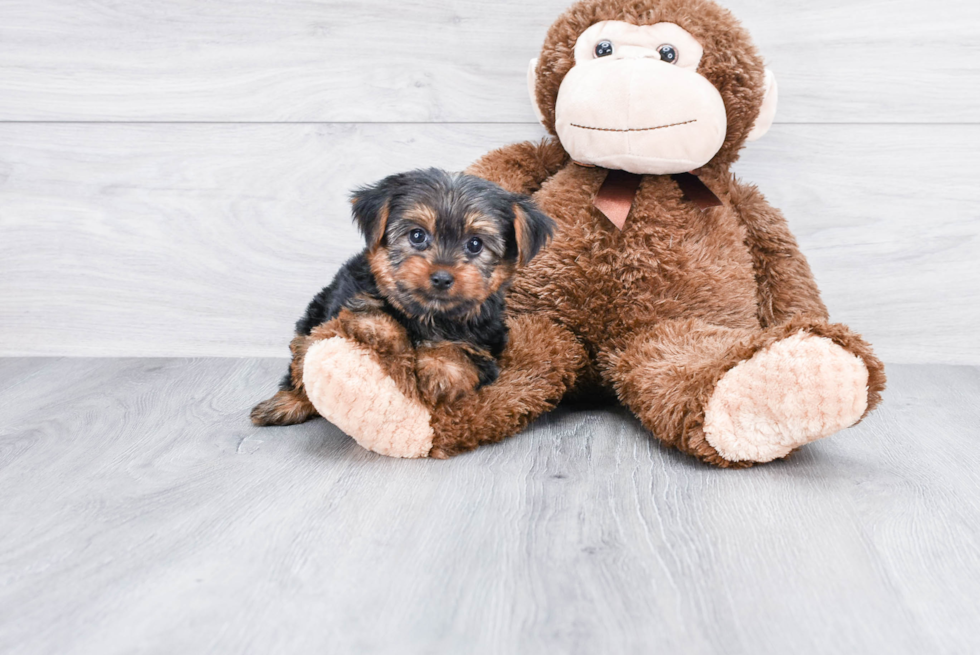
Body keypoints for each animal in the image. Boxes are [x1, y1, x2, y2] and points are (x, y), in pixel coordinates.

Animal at [251, 167, 552, 428]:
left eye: (475, 244)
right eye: (417, 236)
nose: (442, 277)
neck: (426, 315)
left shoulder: (487, 343)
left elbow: (463, 352)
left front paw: (442, 369)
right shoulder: (347, 299)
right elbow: (363, 314)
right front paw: (379, 330)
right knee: (301, 356)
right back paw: (284, 403)